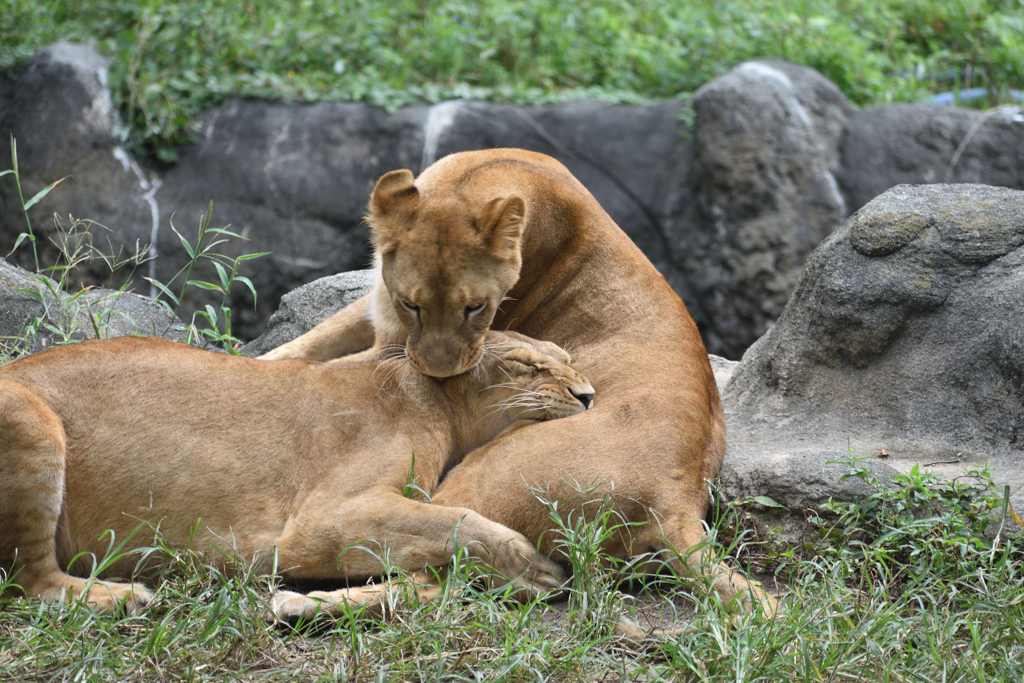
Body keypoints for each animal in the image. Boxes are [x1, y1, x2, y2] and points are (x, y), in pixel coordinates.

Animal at [0, 331, 593, 614]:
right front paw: (535, 569)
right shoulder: (321, 519)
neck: (436, 401)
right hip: (32, 420)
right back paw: (120, 596)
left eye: (568, 359)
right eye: (527, 366)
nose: (589, 395)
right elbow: (458, 520)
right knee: (30, 580)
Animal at [262, 147, 774, 618]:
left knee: (443, 571)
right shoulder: (384, 311)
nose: (440, 373)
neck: (475, 176)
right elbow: (309, 340)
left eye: (475, 308)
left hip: (478, 478)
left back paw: (293, 603)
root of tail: (677, 509)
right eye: (413, 304)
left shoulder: (391, 346)